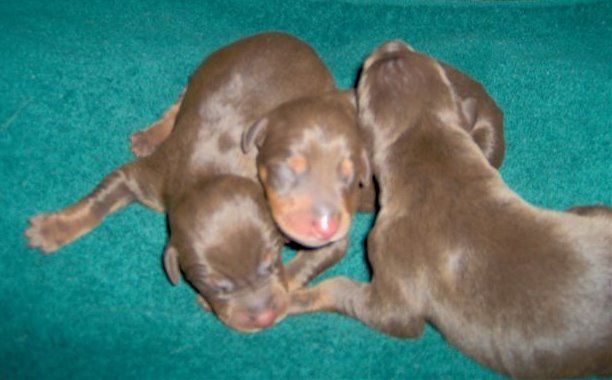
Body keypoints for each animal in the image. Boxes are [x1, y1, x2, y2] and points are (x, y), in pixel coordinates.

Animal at [26, 31, 338, 330]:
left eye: (272, 264)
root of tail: (296, 42)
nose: (264, 319)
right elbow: (99, 201)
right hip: (204, 70)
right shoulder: (150, 179)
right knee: (180, 102)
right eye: (217, 286)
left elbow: (310, 261)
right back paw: (150, 136)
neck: (207, 176)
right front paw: (52, 228)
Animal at [288, 41, 612, 378]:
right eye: (417, 54)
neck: (437, 171)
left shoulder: (389, 258)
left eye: (365, 74)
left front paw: (296, 297)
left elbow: (362, 299)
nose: (391, 44)